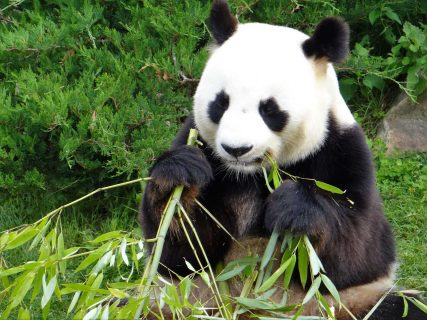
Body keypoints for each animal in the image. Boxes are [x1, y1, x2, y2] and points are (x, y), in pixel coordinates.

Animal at [140, 1, 424, 318]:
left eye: (269, 109)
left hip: (344, 304)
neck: (253, 174)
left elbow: (361, 252)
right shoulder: (203, 147)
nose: (236, 149)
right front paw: (180, 175)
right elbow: (182, 255)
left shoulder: (342, 152)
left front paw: (294, 207)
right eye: (221, 103)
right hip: (189, 300)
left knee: (401, 306)